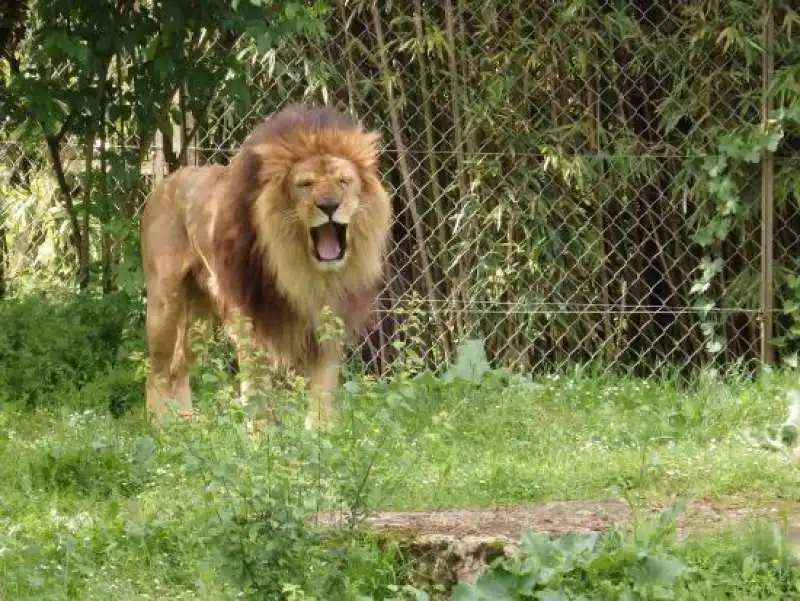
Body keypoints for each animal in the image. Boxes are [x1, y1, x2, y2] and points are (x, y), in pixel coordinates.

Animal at [138, 105, 394, 428]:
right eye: (305, 185)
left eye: (343, 181)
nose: (329, 205)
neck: (305, 272)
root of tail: (165, 182)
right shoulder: (249, 319)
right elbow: (256, 388)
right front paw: (262, 436)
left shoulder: (330, 319)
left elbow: (323, 387)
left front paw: (322, 433)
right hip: (165, 303)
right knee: (157, 372)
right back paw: (160, 428)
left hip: (198, 319)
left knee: (178, 367)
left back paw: (185, 423)